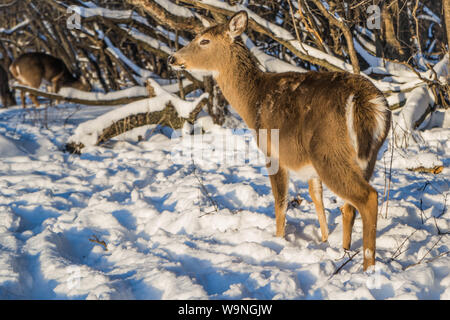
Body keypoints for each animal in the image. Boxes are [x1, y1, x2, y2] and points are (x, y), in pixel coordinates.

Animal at [167, 11, 392, 270]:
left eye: (204, 40)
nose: (172, 58)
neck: (252, 102)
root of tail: (367, 102)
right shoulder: (309, 166)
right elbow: (317, 198)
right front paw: (324, 241)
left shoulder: (272, 151)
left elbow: (281, 201)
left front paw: (278, 240)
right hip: (365, 157)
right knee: (349, 206)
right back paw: (345, 252)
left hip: (329, 151)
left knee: (367, 197)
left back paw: (368, 267)